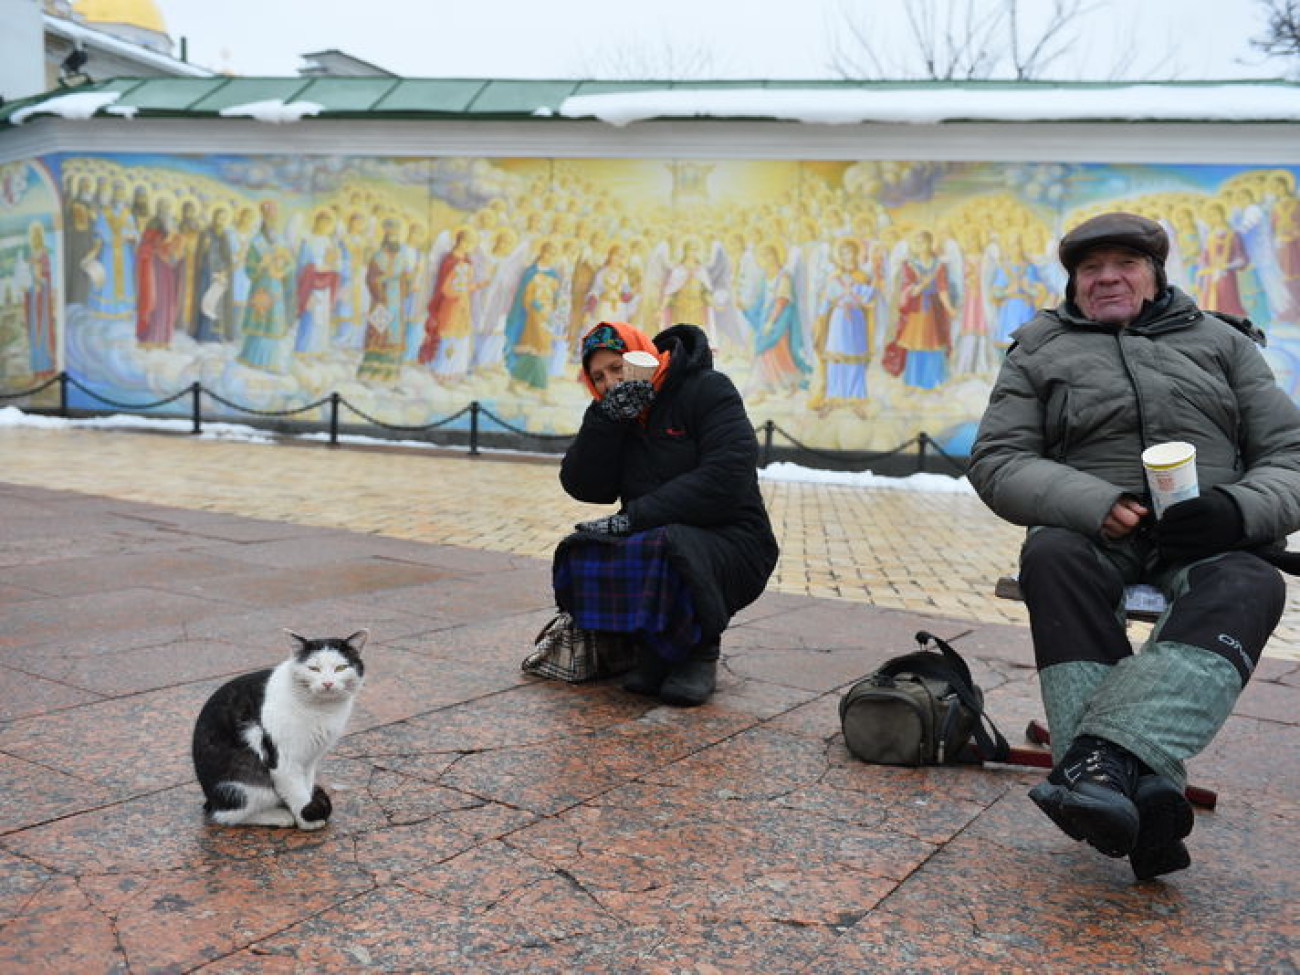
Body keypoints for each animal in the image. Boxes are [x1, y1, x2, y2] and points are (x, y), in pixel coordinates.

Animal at [189, 629, 369, 826]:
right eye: (313, 668)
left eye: (341, 668)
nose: (327, 683)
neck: (322, 710)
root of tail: (210, 799)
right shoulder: (284, 760)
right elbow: (298, 794)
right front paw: (307, 820)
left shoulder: (310, 759)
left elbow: (306, 786)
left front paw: (311, 808)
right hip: (244, 785)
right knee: (227, 815)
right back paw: (279, 816)